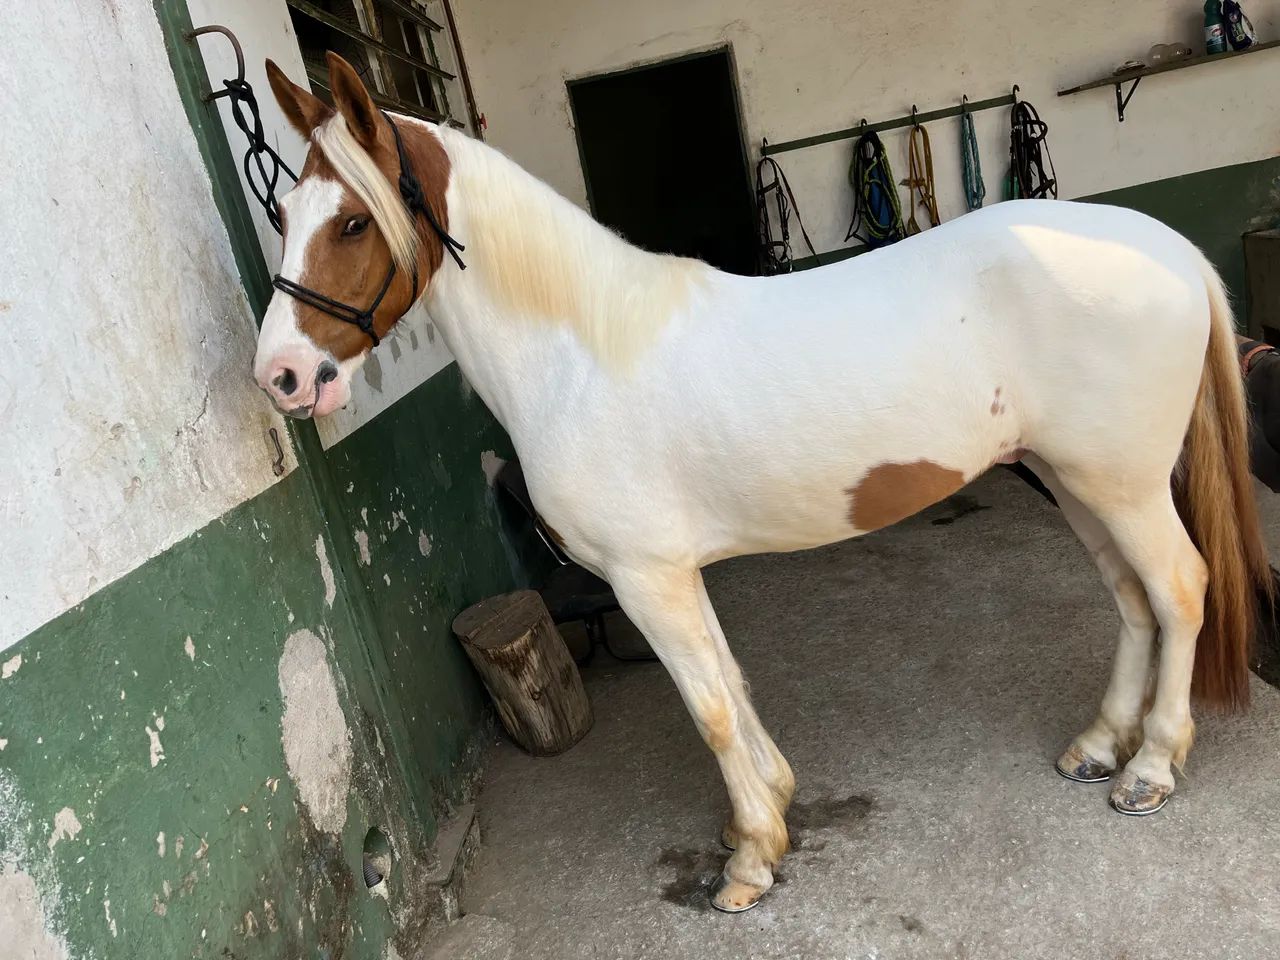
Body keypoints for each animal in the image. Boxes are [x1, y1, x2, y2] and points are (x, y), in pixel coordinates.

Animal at [254, 52, 1271, 913]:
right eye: (286, 216)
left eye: (352, 221)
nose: (283, 379)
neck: (583, 351)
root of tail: (1172, 249)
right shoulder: (670, 574)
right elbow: (731, 684)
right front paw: (773, 805)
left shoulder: (645, 579)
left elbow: (706, 708)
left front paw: (748, 861)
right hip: (1073, 477)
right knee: (1132, 598)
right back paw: (1100, 746)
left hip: (1123, 483)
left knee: (1179, 590)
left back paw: (1151, 769)